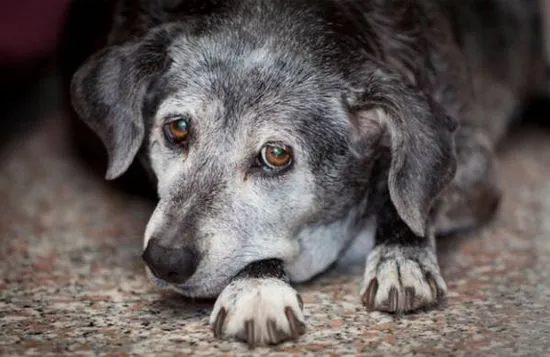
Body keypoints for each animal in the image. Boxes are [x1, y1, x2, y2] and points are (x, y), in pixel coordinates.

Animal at [68, 0, 548, 344]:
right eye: (178, 128)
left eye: (277, 154)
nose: (165, 260)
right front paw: (258, 287)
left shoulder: (472, 161)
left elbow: (406, 193)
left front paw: (401, 258)